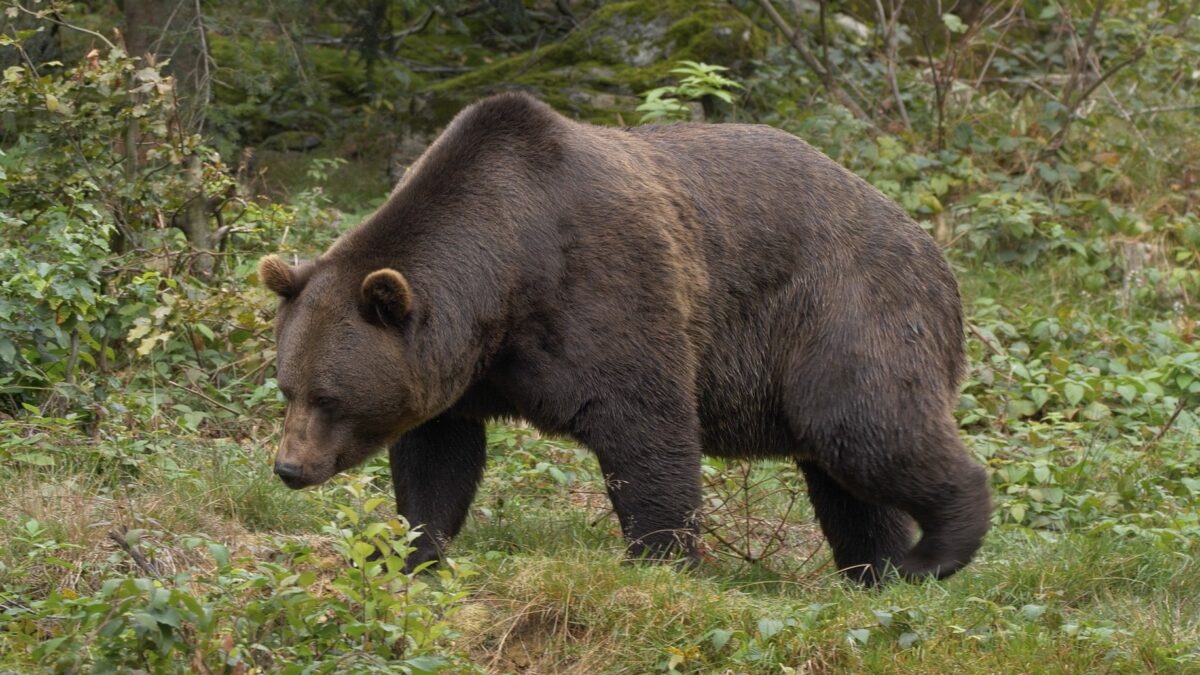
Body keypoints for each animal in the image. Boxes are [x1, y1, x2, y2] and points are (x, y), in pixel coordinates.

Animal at [258, 92, 991, 586]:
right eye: (287, 386)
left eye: (328, 397)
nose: (289, 467)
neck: (503, 275)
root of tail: (934, 250)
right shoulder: (463, 374)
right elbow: (436, 462)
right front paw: (414, 553)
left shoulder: (605, 289)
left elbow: (647, 428)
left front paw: (659, 558)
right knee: (847, 481)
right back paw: (878, 568)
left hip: (846, 310)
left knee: (865, 425)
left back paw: (935, 551)